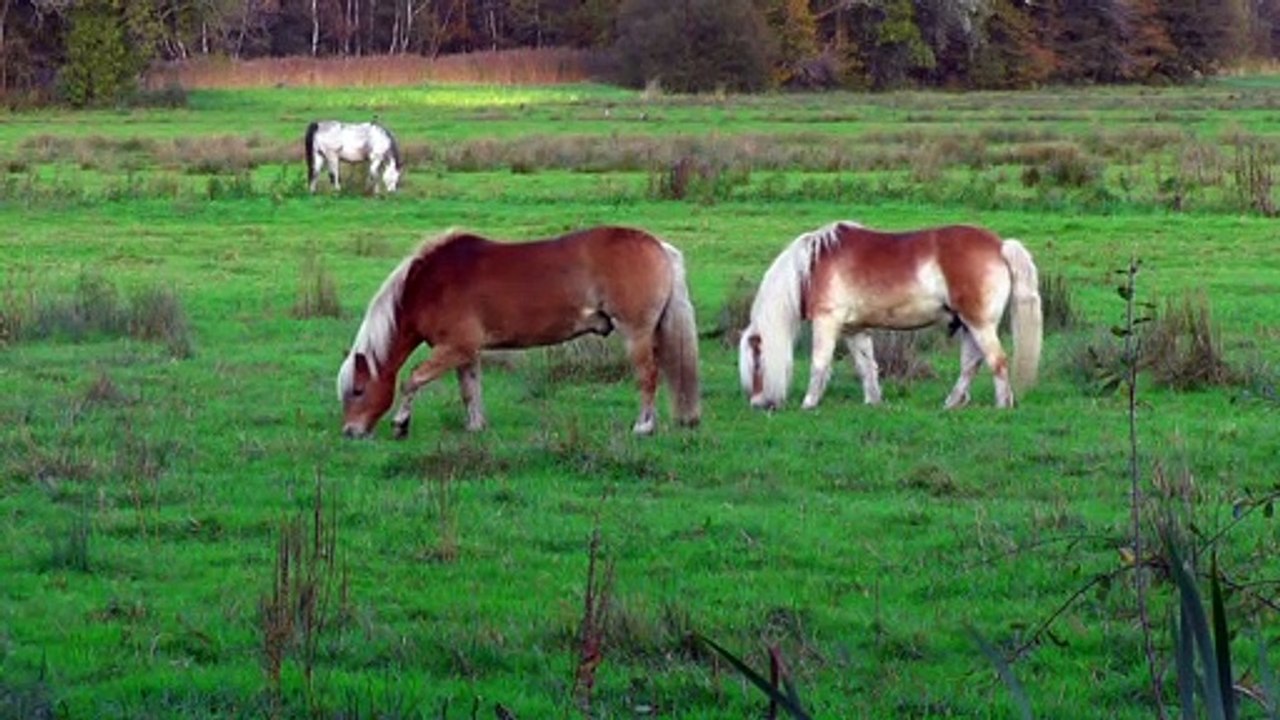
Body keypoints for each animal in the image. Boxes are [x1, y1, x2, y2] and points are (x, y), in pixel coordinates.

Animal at [337, 226, 702, 439]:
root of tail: (658, 245)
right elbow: (470, 389)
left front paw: (401, 424)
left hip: (635, 333)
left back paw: (643, 426)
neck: (430, 284)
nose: (350, 432)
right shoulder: (466, 352)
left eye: (358, 390)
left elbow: (412, 380)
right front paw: (476, 426)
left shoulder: (454, 347)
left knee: (648, 376)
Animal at [738, 221, 1043, 411]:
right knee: (971, 363)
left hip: (979, 324)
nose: (757, 404)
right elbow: (866, 366)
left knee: (997, 361)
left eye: (757, 364)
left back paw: (1002, 405)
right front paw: (874, 401)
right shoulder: (854, 330)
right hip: (969, 325)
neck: (811, 267)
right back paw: (952, 403)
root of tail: (1000, 245)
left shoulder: (827, 321)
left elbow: (819, 364)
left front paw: (809, 403)